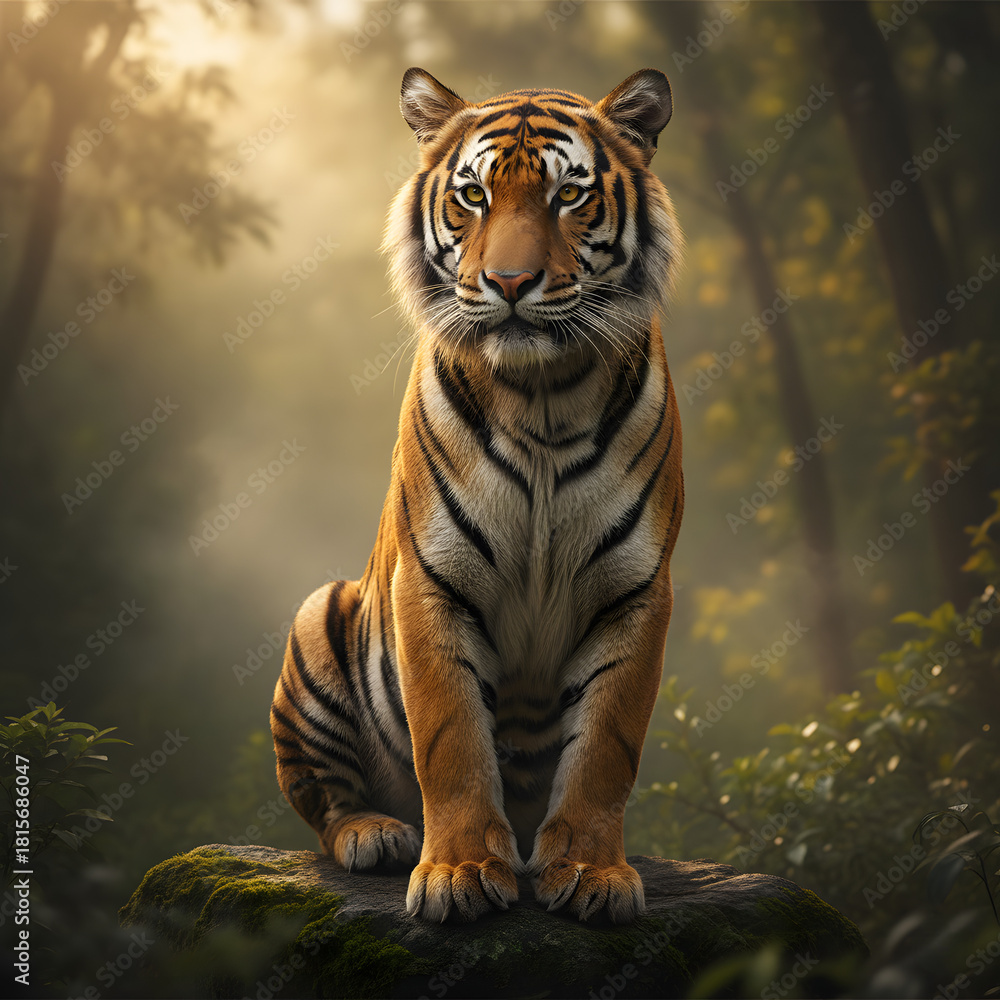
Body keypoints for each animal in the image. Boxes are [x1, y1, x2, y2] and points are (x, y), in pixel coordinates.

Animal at [271, 67, 683, 924]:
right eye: (473, 196)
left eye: (569, 196)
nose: (511, 282)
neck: (544, 398)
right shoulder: (432, 581)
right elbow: (451, 737)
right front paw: (458, 874)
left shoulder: (635, 591)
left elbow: (606, 747)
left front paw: (592, 873)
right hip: (319, 614)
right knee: (324, 798)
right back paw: (376, 835)